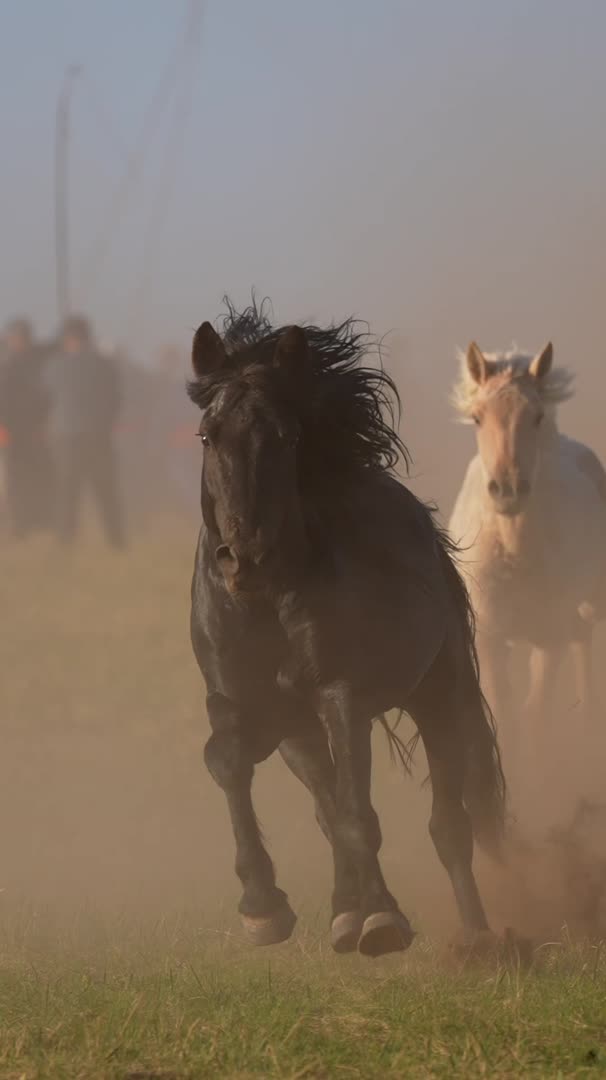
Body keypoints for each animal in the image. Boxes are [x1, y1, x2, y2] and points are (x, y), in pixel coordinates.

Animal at [189, 300, 505, 959]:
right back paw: (343, 912)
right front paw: (264, 906)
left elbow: (359, 815)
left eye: (285, 437)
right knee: (327, 804)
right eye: (208, 434)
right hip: (302, 732)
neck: (267, 605)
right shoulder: (248, 707)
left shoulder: (341, 695)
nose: (244, 558)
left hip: (440, 692)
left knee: (449, 824)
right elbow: (231, 763)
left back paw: (477, 938)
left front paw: (382, 919)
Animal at [447, 341, 604, 747]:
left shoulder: (550, 639)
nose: (508, 491)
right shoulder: (489, 639)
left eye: (537, 416)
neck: (515, 552)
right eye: (477, 418)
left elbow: (536, 718)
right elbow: (505, 718)